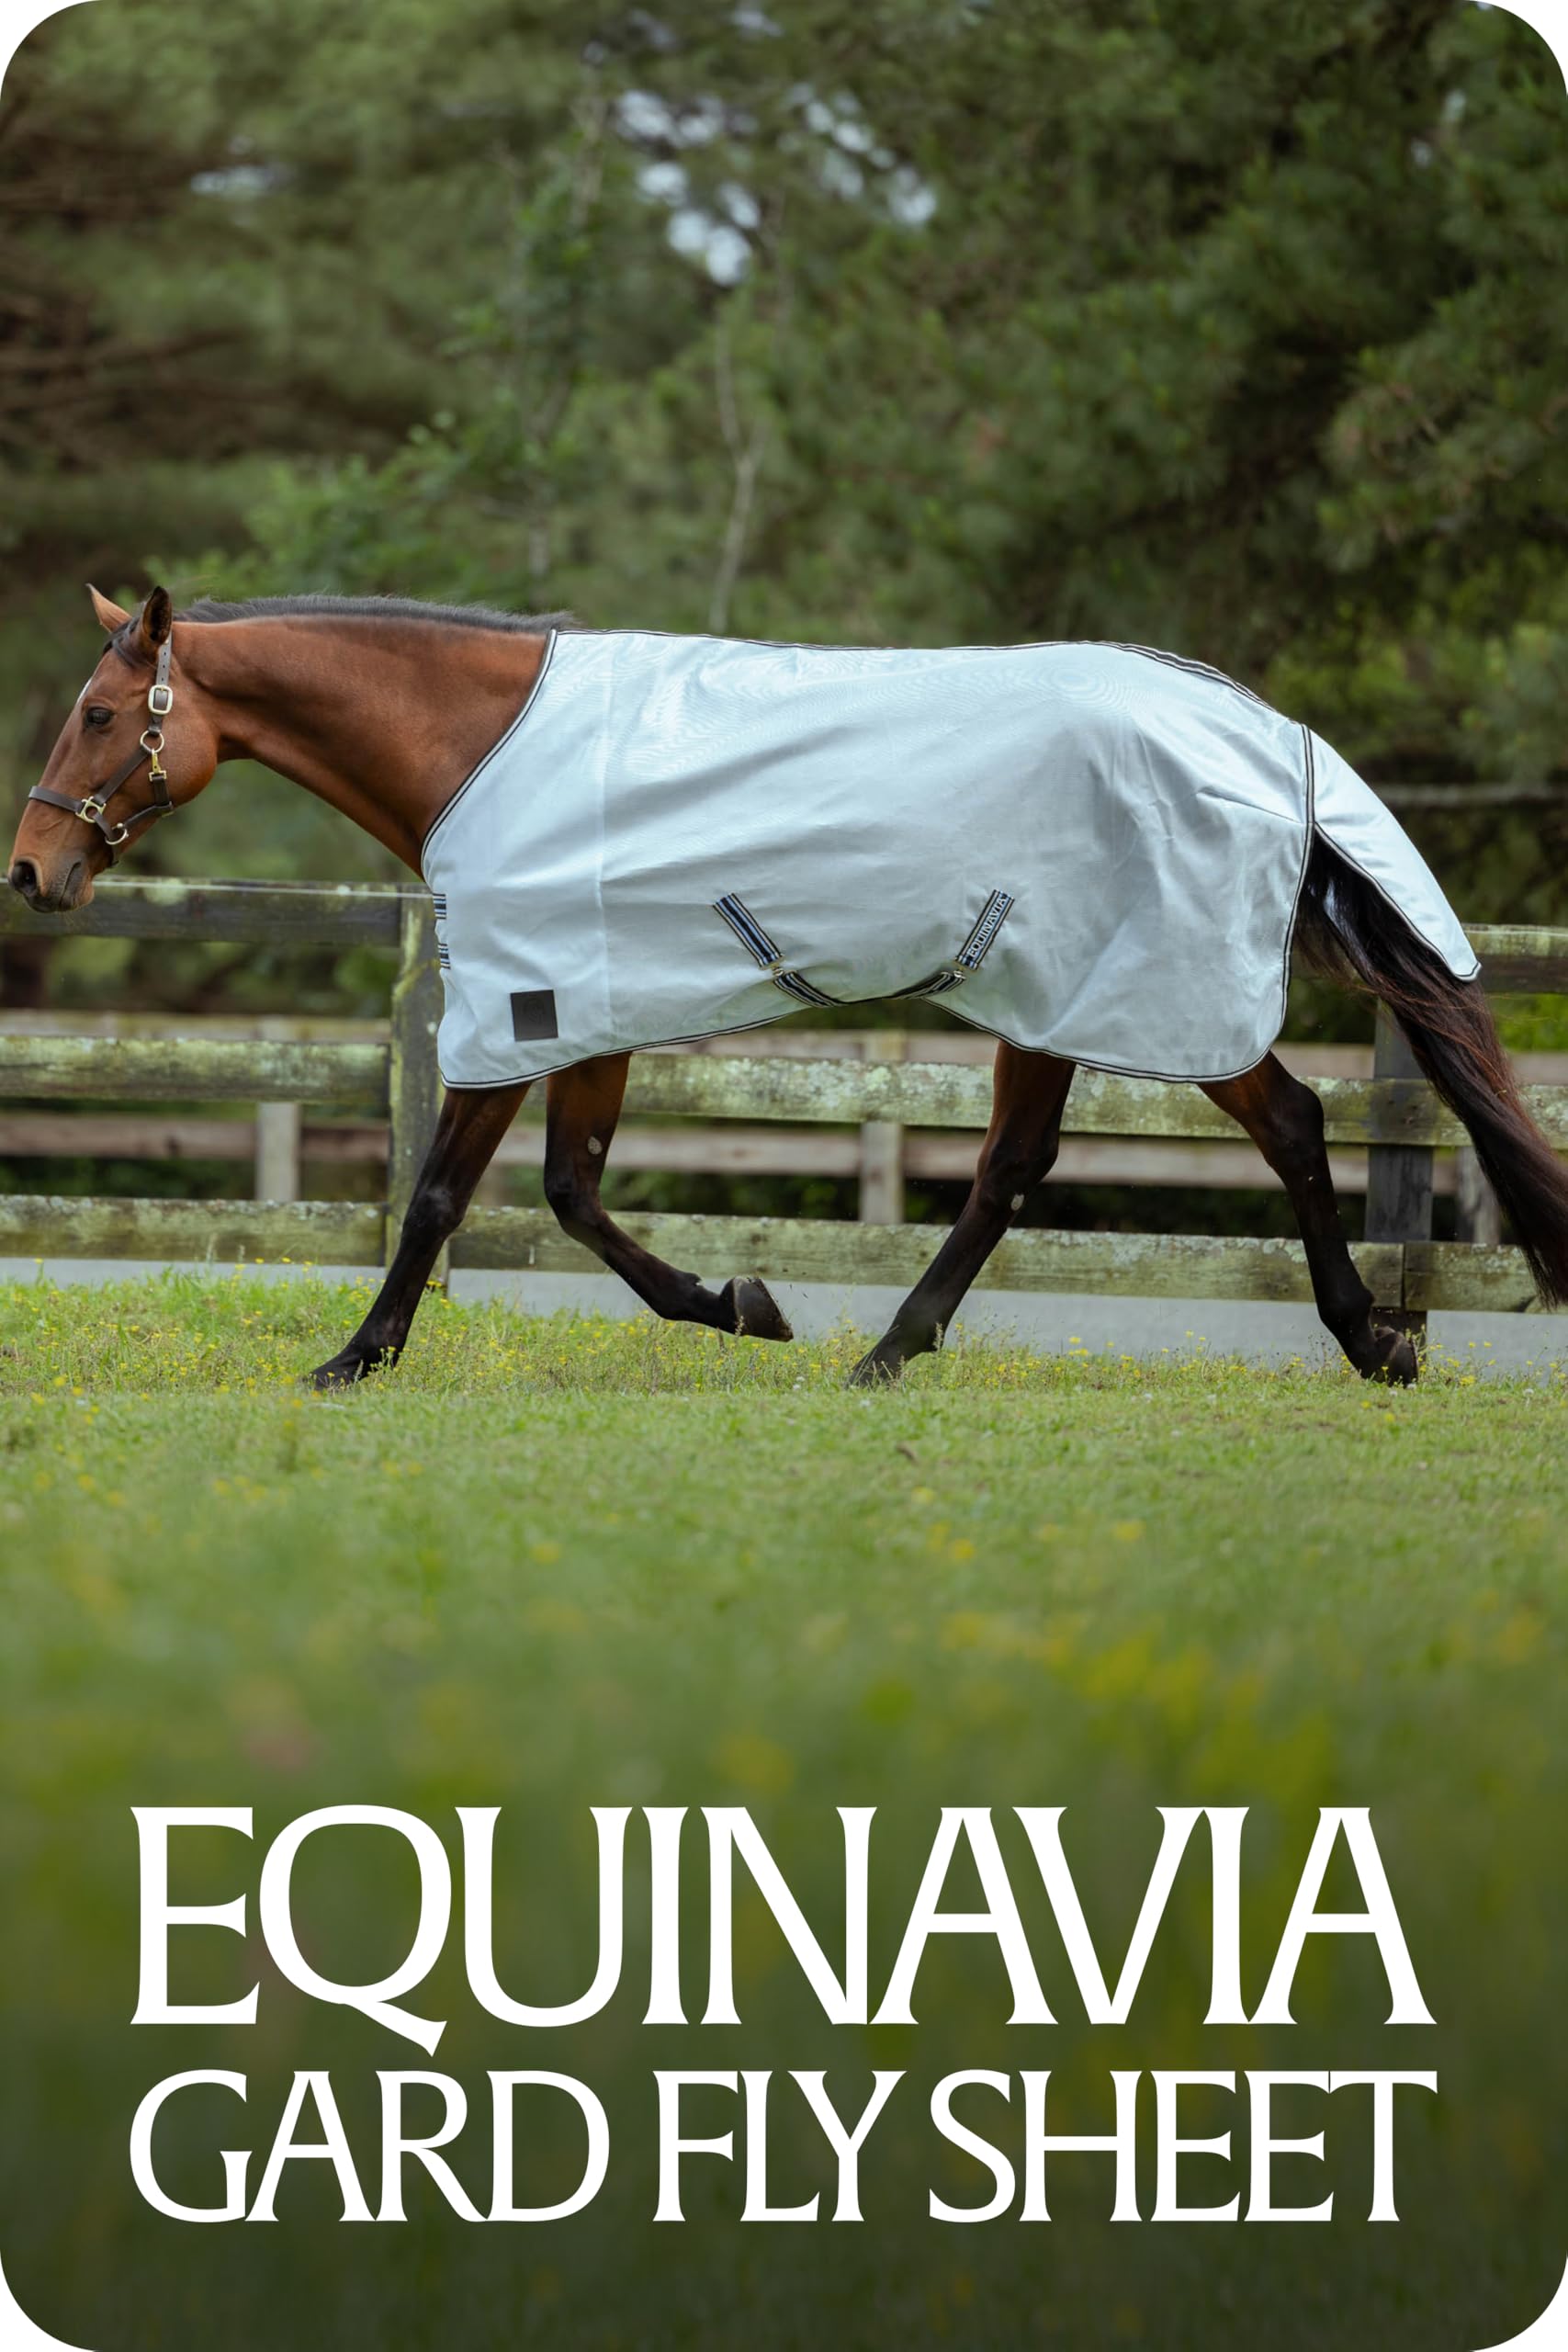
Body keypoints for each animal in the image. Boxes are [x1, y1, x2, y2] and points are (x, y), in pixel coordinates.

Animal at [9, 585, 1568, 1393]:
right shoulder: (588, 1014)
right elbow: (571, 1196)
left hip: (1128, 994)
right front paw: (738, 1301)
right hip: (1062, 1007)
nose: (30, 872)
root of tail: (1260, 734)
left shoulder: (518, 1008)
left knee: (1244, 1135)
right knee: (1054, 1161)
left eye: (98, 712)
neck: (483, 748)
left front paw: (355, 1357)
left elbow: (445, 1194)